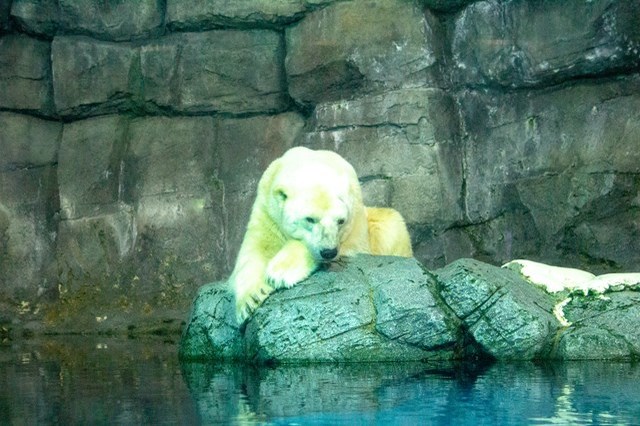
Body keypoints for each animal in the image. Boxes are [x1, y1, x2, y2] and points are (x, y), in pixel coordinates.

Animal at [230, 146, 410, 322]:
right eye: (310, 219)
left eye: (340, 220)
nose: (329, 252)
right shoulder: (267, 208)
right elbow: (257, 246)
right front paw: (251, 299)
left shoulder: (354, 227)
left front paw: (279, 273)